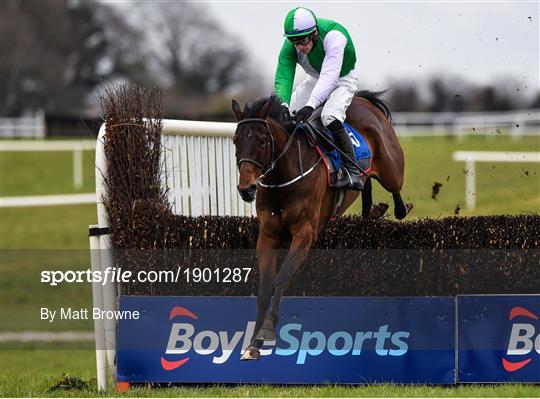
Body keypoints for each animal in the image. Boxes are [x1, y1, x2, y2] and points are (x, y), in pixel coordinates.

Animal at [230, 92, 412, 360]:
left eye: (262, 141)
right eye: (236, 140)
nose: (247, 188)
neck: (284, 176)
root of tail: (362, 100)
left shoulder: (305, 233)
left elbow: (282, 277)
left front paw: (267, 330)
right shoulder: (268, 236)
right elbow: (264, 288)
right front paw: (253, 344)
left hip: (391, 168)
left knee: (395, 186)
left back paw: (398, 207)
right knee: (366, 183)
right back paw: (371, 208)